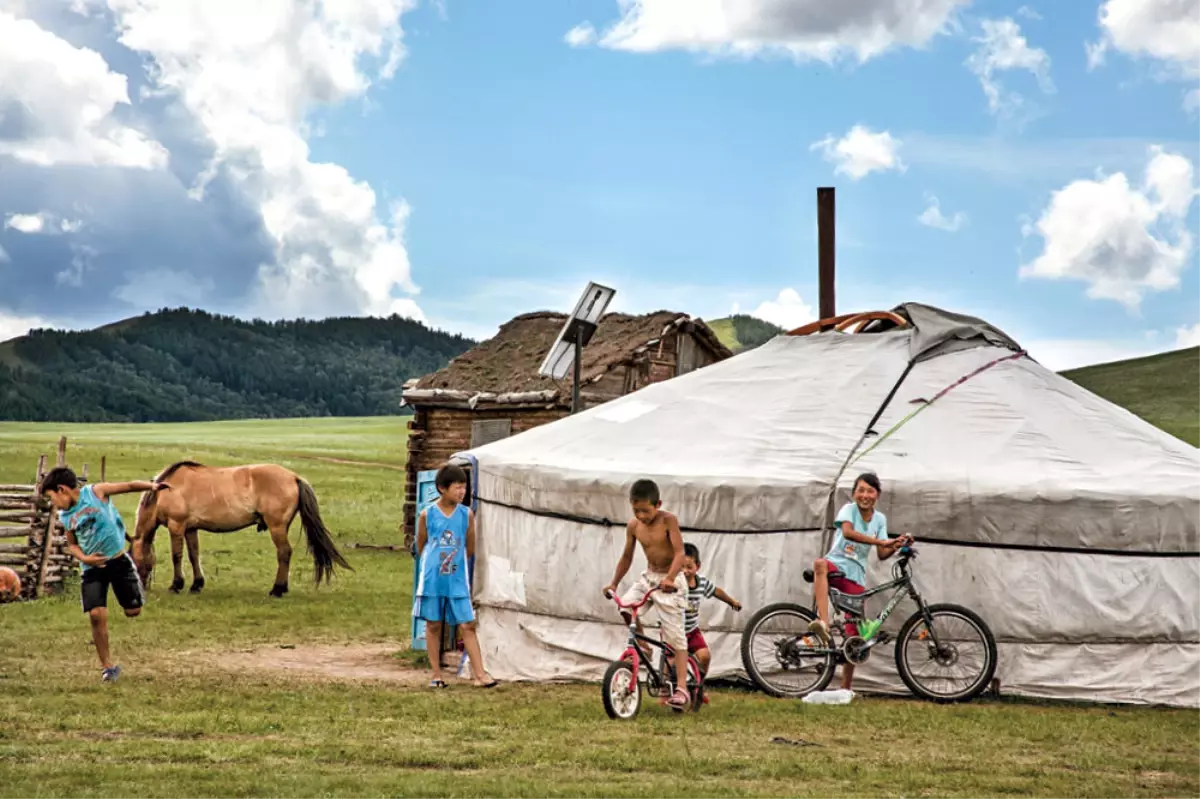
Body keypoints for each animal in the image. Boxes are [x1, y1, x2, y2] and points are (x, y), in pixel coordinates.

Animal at [135, 458, 352, 595]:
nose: (141, 589)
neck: (165, 491)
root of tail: (293, 477)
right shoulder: (190, 529)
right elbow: (193, 555)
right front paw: (196, 585)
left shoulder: (176, 526)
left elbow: (177, 556)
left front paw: (176, 585)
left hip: (277, 527)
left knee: (284, 552)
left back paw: (277, 589)